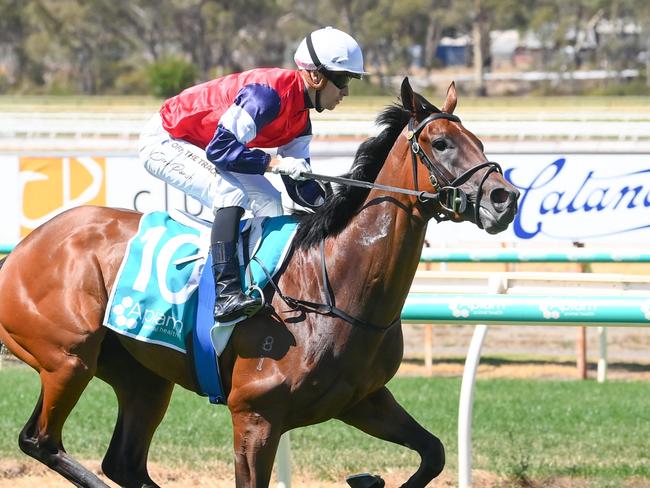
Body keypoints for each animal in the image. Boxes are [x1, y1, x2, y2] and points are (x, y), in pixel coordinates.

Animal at [0, 78, 516, 486]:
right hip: (67, 359)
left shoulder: (364, 400)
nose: (504, 197)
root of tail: (25, 248)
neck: (331, 287)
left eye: (477, 139)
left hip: (142, 376)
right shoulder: (255, 417)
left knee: (122, 462)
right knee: (41, 440)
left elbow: (434, 453)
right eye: (442, 143)